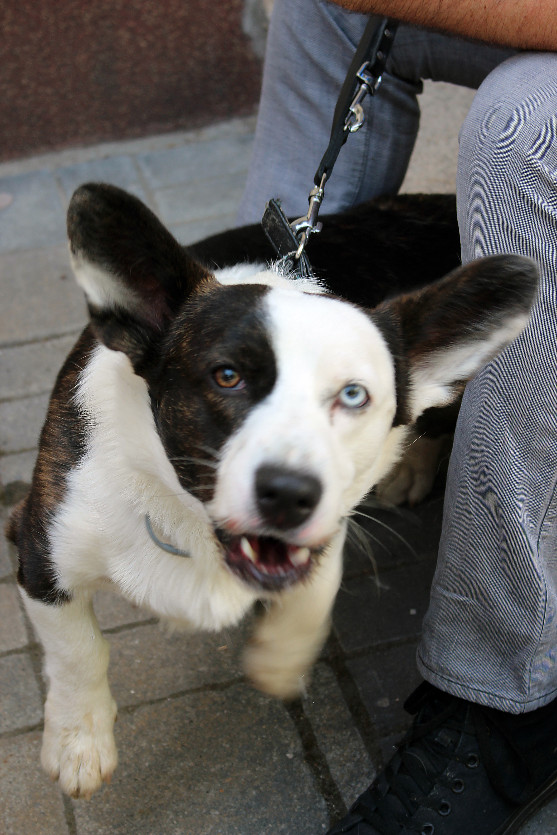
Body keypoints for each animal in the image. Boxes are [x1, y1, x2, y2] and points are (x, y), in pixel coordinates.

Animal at [6, 183, 540, 796]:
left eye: (354, 396)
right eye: (227, 377)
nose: (289, 495)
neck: (184, 514)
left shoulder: (331, 527)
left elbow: (314, 589)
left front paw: (280, 659)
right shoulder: (40, 553)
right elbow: (79, 652)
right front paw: (79, 742)